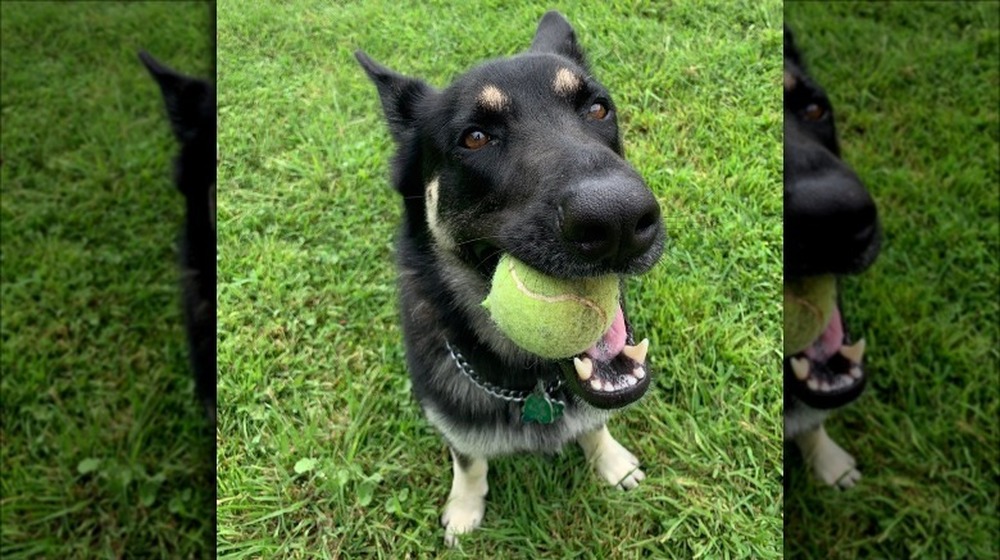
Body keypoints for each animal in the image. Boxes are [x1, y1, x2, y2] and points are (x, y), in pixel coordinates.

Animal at [356, 10, 668, 548]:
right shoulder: (452, 421)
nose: (620, 220)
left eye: (598, 109)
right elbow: (468, 461)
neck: (531, 385)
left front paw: (609, 460)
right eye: (475, 138)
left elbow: (594, 426)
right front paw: (465, 507)